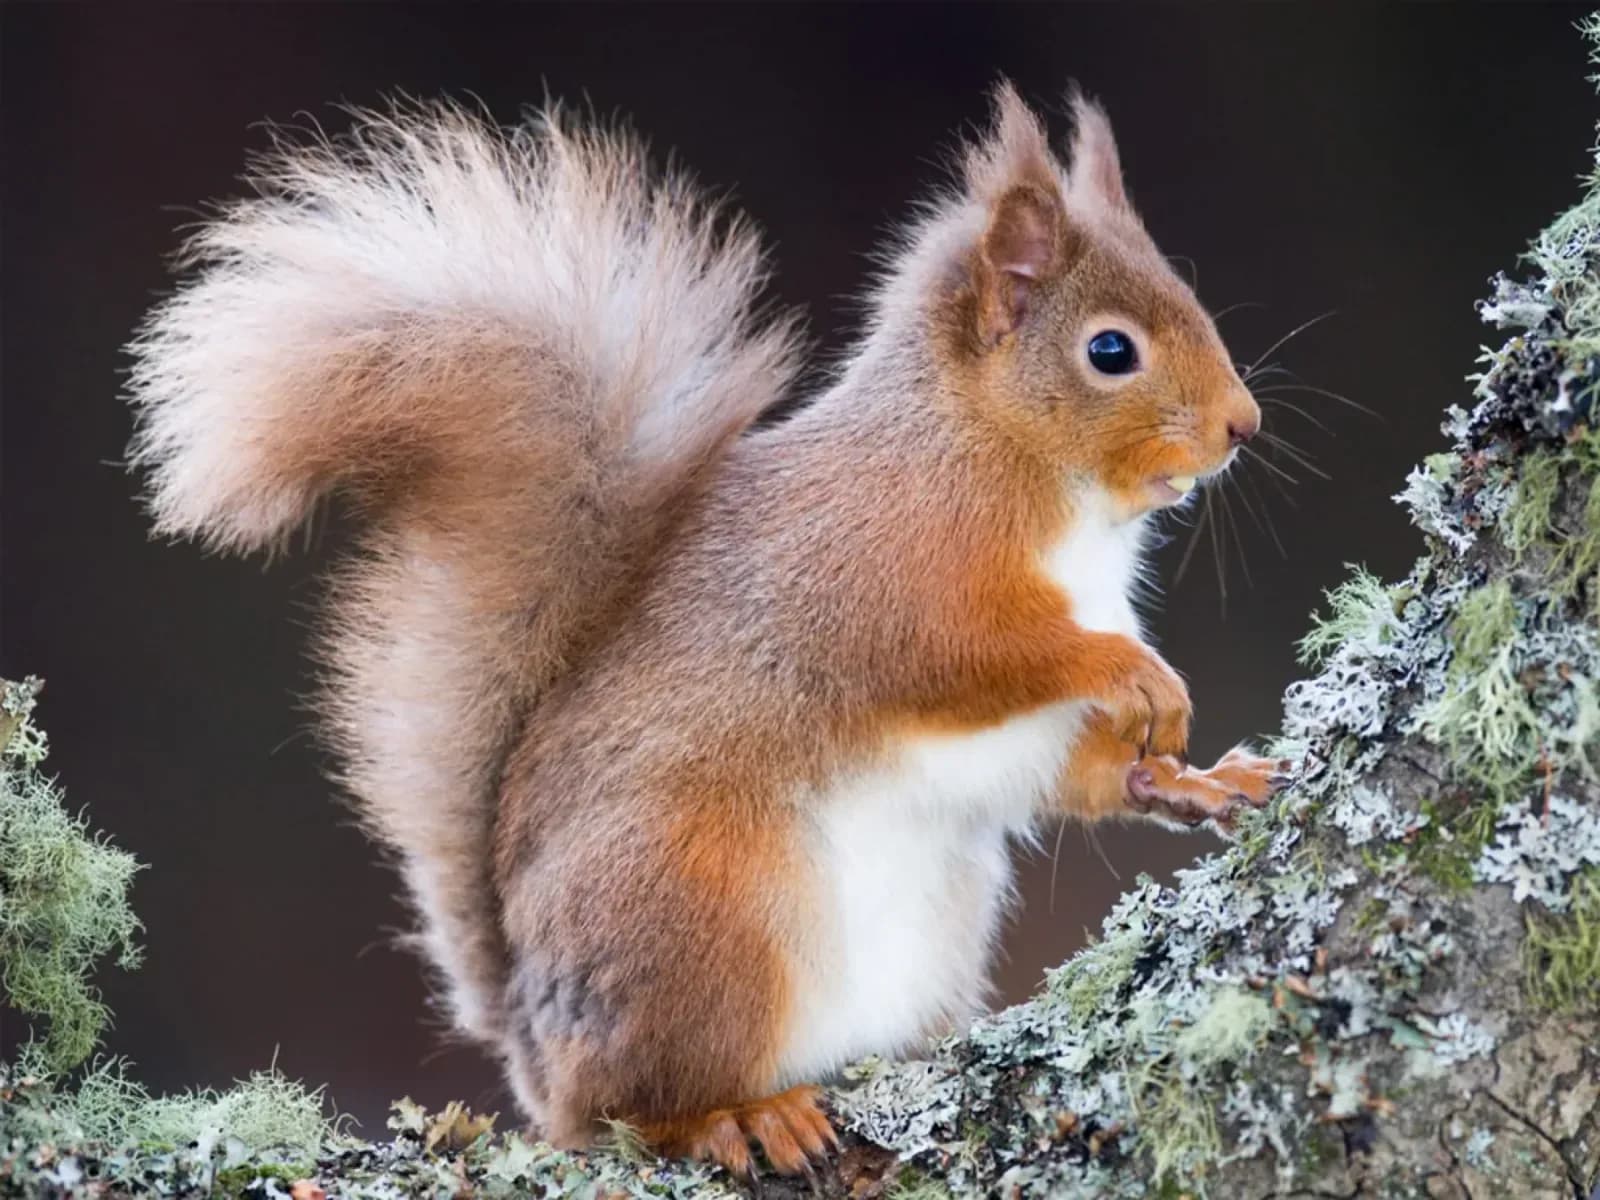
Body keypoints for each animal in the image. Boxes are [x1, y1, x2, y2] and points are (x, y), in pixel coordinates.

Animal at [126, 83, 1284, 1176]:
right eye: (1109, 351)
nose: (1244, 426)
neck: (1024, 474)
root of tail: (531, 1039)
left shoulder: (1027, 726)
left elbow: (1083, 776)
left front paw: (1198, 779)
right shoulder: (883, 574)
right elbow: (968, 656)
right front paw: (1132, 669)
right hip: (702, 915)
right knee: (636, 1104)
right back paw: (736, 1116)